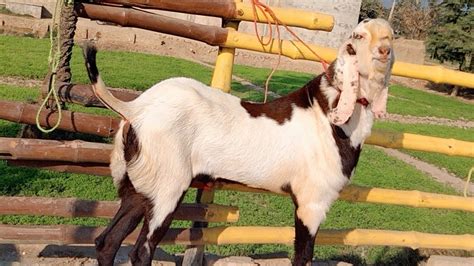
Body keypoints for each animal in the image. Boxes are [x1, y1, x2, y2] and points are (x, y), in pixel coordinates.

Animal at [85, 18, 396, 266]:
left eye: (391, 36)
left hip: (137, 186)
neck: (325, 111)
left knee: (107, 242)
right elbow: (303, 257)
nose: (384, 52)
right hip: (167, 188)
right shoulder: (312, 203)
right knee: (141, 251)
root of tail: (136, 108)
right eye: (358, 37)